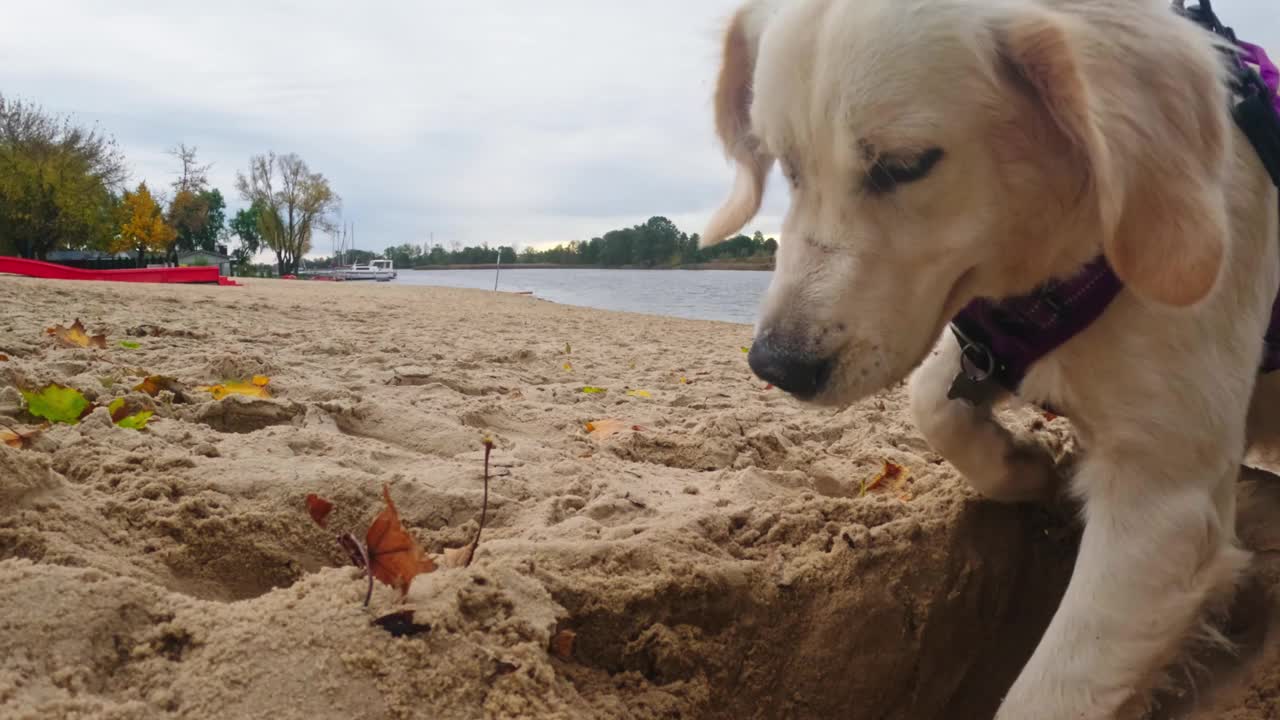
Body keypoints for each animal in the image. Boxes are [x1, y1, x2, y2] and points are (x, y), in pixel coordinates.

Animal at [701, 0, 1280, 712]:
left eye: (905, 166)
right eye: (787, 165)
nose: (775, 366)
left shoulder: (1165, 503)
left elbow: (1049, 694)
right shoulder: (984, 339)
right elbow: (932, 401)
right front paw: (1026, 466)